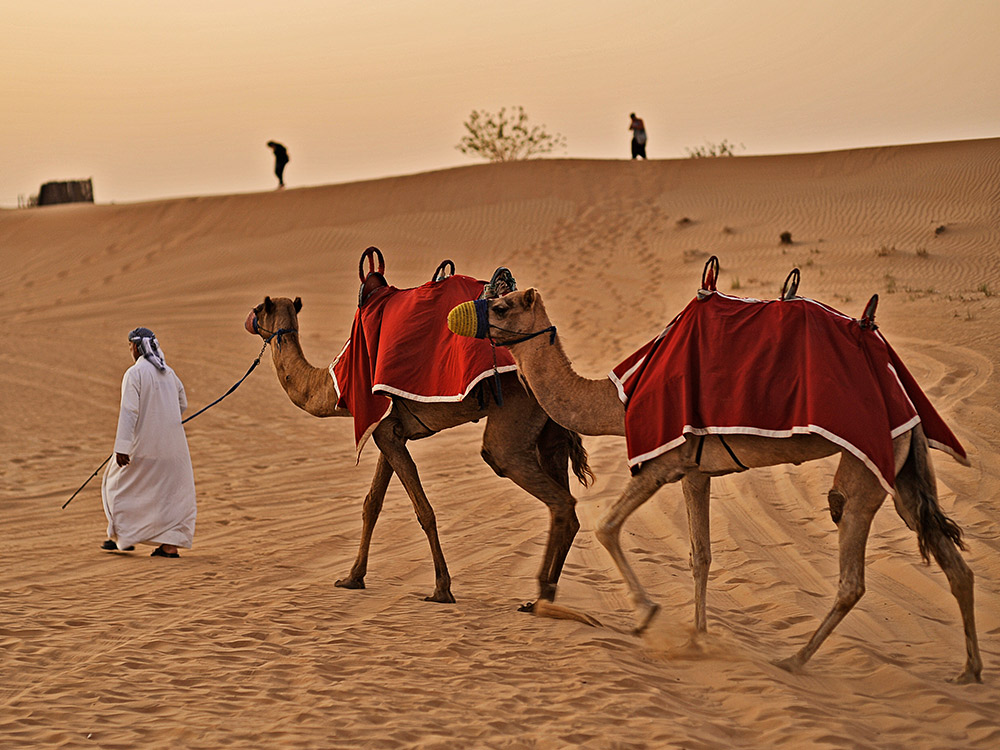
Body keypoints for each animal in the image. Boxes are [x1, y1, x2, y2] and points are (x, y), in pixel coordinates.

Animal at [245, 296, 588, 608]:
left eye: (259, 308)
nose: (249, 319)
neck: (330, 385)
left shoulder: (385, 432)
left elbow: (423, 510)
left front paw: (441, 589)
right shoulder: (388, 430)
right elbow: (372, 504)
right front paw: (352, 577)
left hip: (516, 417)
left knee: (549, 493)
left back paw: (540, 595)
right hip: (550, 429)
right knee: (568, 507)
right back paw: (546, 596)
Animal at [450, 274, 980, 680]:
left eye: (501, 305)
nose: (459, 319)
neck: (617, 401)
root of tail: (904, 399)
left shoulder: (662, 462)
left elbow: (606, 526)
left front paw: (648, 616)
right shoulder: (693, 468)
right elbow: (700, 555)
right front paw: (698, 639)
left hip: (868, 464)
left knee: (852, 569)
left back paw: (793, 660)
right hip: (905, 468)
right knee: (953, 561)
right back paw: (969, 671)